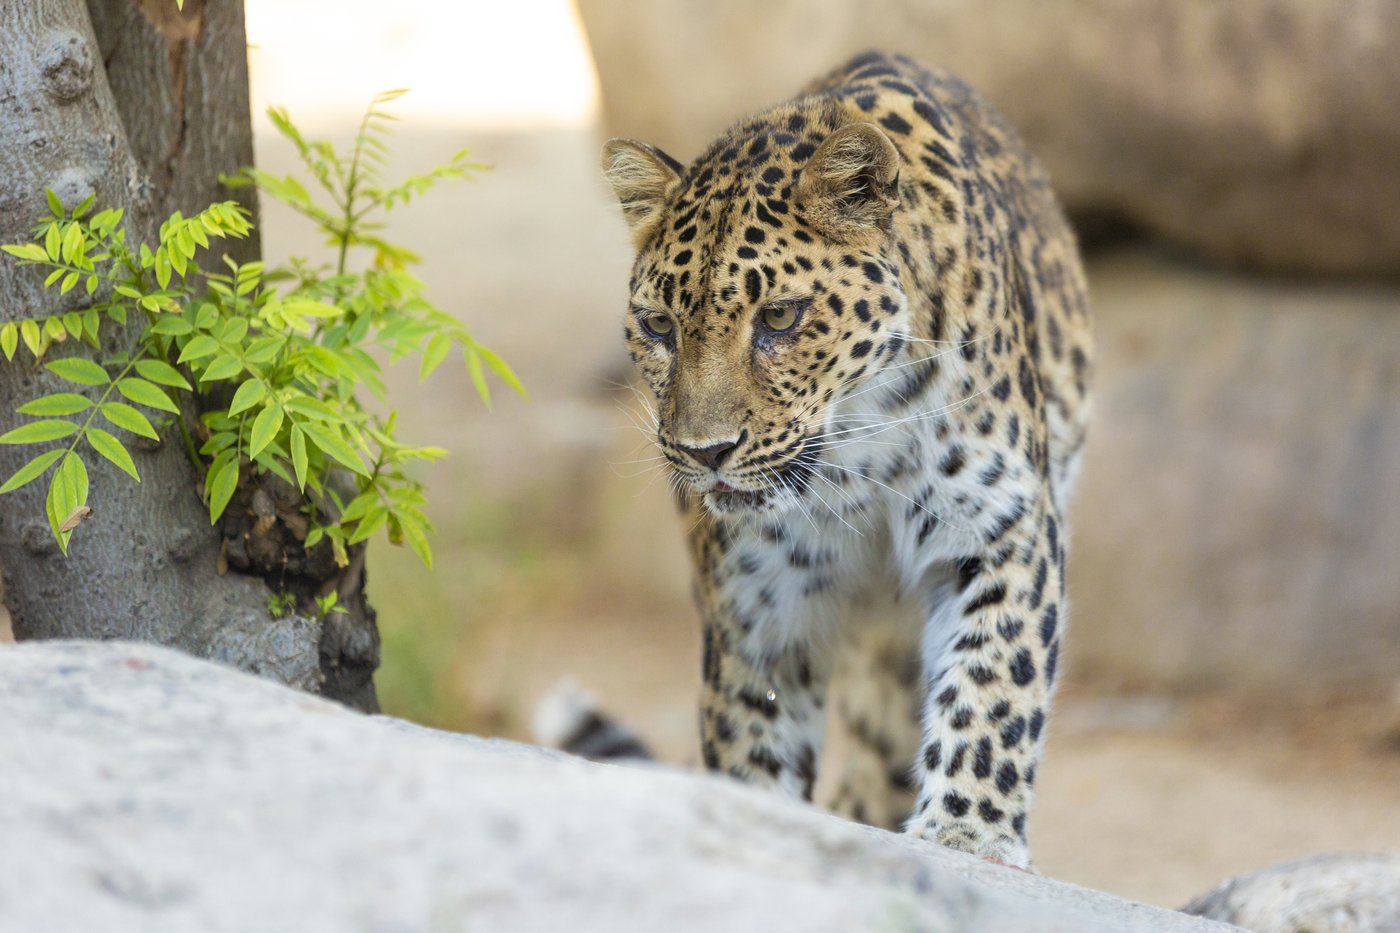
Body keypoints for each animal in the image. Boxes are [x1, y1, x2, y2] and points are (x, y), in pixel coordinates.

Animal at [598, 50, 1092, 869]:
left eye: (779, 317)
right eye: (659, 326)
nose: (706, 454)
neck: (859, 448)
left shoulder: (1005, 525)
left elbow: (996, 678)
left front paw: (970, 830)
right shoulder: (757, 594)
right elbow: (752, 728)